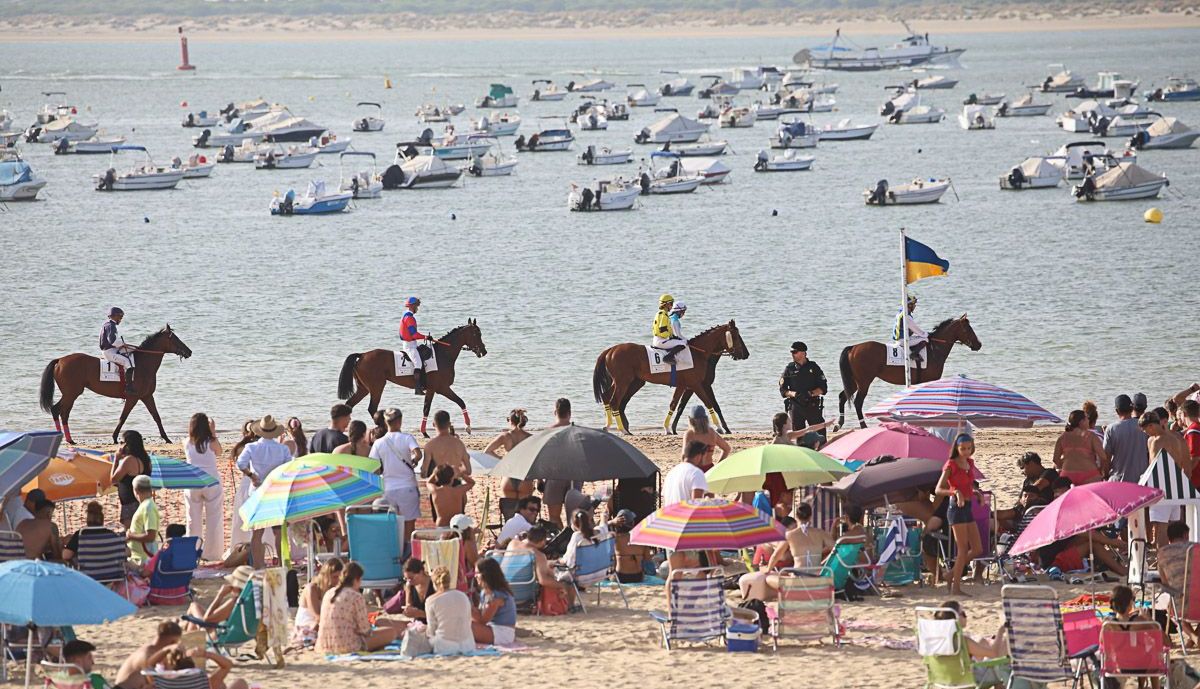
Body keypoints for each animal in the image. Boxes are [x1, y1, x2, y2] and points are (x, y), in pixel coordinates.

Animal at [39, 325, 193, 444]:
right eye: (175, 338)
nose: (189, 351)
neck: (143, 364)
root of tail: (60, 360)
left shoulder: (147, 396)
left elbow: (156, 416)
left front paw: (166, 438)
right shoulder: (133, 397)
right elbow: (123, 417)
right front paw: (114, 437)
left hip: (70, 394)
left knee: (61, 412)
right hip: (71, 393)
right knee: (59, 411)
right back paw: (67, 439)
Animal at [337, 319, 487, 437]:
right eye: (477, 334)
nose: (484, 351)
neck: (442, 355)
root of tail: (362, 355)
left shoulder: (438, 389)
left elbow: (457, 403)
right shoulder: (439, 388)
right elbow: (436, 406)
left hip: (363, 389)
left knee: (349, 404)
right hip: (377, 387)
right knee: (372, 408)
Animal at [592, 320, 749, 435]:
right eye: (736, 336)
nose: (746, 354)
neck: (698, 353)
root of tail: (611, 350)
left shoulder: (683, 385)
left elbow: (675, 405)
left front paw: (668, 428)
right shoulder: (696, 384)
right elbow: (709, 403)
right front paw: (720, 427)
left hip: (629, 382)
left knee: (608, 397)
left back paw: (610, 426)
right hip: (623, 381)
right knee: (615, 402)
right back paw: (622, 429)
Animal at [834, 314, 981, 431]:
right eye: (968, 329)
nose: (979, 345)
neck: (934, 349)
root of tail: (853, 347)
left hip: (854, 381)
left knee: (842, 396)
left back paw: (838, 424)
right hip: (864, 382)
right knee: (858, 402)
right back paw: (863, 426)